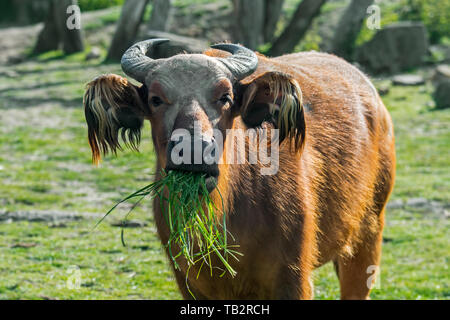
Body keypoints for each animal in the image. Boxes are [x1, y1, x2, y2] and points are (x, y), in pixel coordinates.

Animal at [82, 40, 396, 300]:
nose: (193, 150)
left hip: (368, 234)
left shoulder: (293, 278)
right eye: (156, 99)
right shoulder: (189, 282)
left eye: (226, 96)